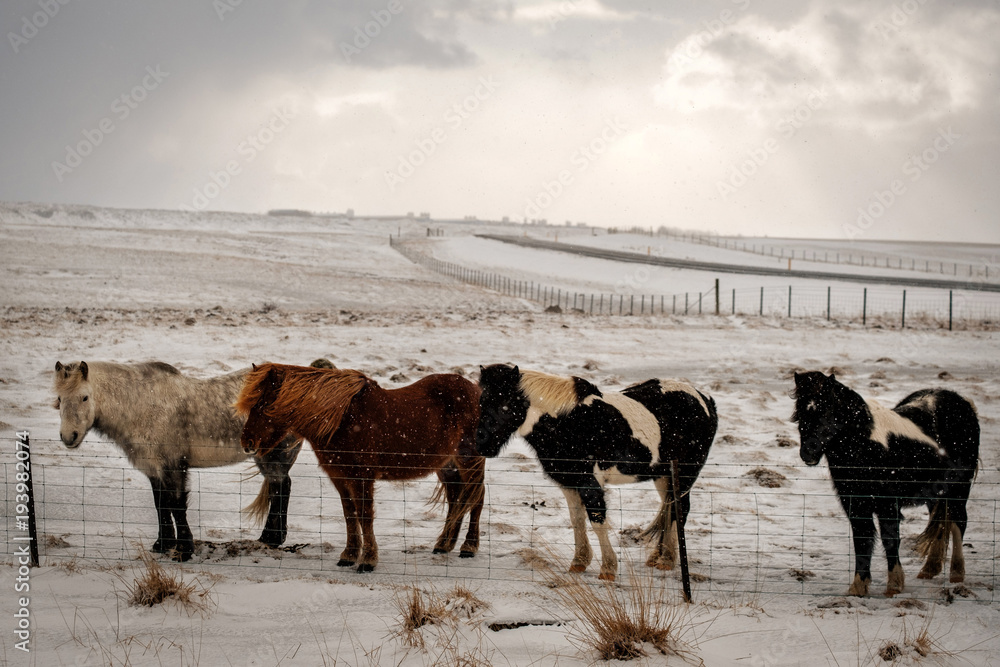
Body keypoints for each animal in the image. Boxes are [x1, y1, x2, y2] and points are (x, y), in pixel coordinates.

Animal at [53, 360, 304, 561]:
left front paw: (184, 550)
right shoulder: (154, 468)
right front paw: (162, 545)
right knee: (280, 487)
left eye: (84, 397)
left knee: (282, 487)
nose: (69, 437)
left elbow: (176, 504)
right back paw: (269, 538)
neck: (143, 405)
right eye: (59, 398)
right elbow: (161, 503)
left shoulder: (174, 466)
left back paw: (272, 539)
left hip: (273, 456)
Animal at [235, 362, 484, 573]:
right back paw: (444, 545)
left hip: (470, 460)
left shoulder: (362, 477)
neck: (341, 419)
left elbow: (365, 516)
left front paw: (368, 561)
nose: (247, 443)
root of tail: (474, 390)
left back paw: (468, 548)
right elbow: (349, 514)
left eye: (265, 404)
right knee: (456, 498)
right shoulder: (340, 478)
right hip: (447, 465)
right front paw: (349, 555)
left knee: (476, 498)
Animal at [476, 363, 718, 581]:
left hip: (685, 474)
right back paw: (658, 557)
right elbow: (577, 520)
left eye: (506, 404)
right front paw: (579, 562)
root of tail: (705, 400)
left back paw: (666, 560)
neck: (569, 423)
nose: (482, 444)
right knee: (670, 508)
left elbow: (597, 520)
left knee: (679, 509)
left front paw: (608, 569)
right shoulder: (568, 482)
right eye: (482, 401)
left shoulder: (590, 483)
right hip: (664, 476)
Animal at [791, 370, 980, 597]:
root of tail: (962, 402)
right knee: (942, 523)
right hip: (935, 494)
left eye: (829, 412)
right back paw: (929, 570)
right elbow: (862, 540)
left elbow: (890, 539)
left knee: (959, 522)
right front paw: (858, 588)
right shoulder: (856, 505)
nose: (808, 454)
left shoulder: (887, 504)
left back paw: (957, 574)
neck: (865, 445)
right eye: (799, 413)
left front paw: (894, 586)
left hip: (959, 488)